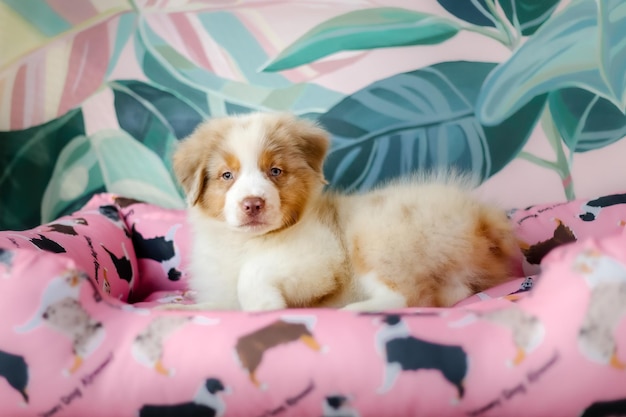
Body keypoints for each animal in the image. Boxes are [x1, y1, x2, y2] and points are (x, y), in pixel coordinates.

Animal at [171, 112, 516, 310]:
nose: (253, 203)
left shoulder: (320, 258)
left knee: (408, 297)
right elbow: (213, 306)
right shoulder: (221, 293)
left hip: (375, 234)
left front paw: (263, 305)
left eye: (275, 171)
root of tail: (478, 217)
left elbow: (255, 270)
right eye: (227, 175)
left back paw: (355, 310)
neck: (244, 243)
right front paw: (182, 309)